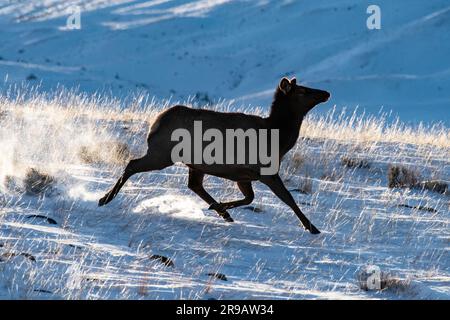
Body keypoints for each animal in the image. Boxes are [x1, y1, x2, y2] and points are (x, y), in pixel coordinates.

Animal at [99, 77, 330, 232]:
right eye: (302, 91)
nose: (326, 93)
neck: (279, 139)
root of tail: (156, 122)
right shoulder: (265, 171)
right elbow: (288, 198)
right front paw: (312, 227)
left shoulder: (244, 175)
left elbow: (250, 198)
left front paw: (219, 206)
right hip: (162, 153)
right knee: (132, 163)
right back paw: (104, 198)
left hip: (193, 163)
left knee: (194, 185)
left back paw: (222, 212)